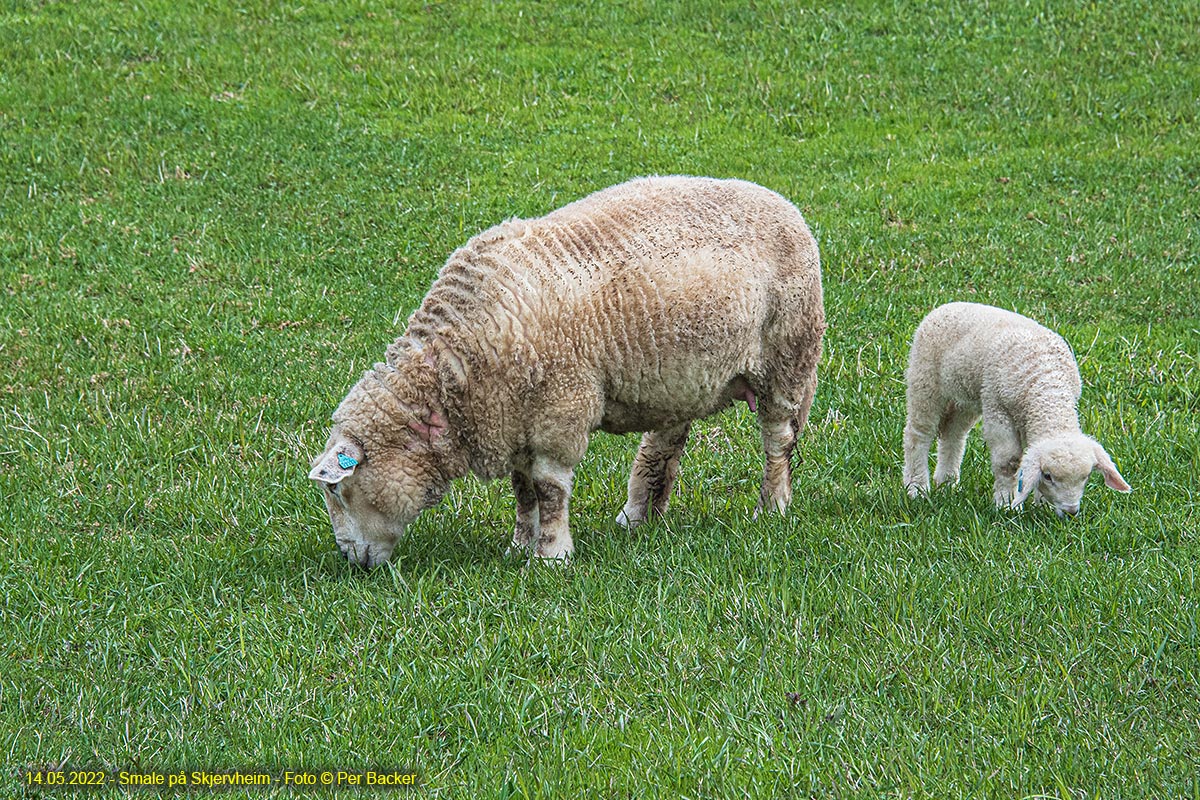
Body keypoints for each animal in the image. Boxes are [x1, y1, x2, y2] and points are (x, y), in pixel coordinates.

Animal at [309, 178, 825, 566]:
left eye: (340, 494)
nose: (350, 559)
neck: (454, 373)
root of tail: (784, 204)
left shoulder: (559, 412)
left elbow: (549, 489)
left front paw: (551, 556)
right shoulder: (514, 422)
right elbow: (523, 492)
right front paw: (519, 547)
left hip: (788, 355)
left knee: (778, 440)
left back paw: (772, 507)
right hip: (679, 377)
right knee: (665, 443)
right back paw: (638, 516)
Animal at [902, 302, 1128, 520]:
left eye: (1086, 476)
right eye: (1048, 476)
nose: (1071, 512)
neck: (1047, 387)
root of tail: (945, 306)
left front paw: (1042, 505)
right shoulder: (997, 407)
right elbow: (1009, 462)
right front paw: (1006, 506)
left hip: (964, 397)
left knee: (953, 435)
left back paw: (947, 484)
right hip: (925, 381)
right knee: (918, 434)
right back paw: (917, 489)